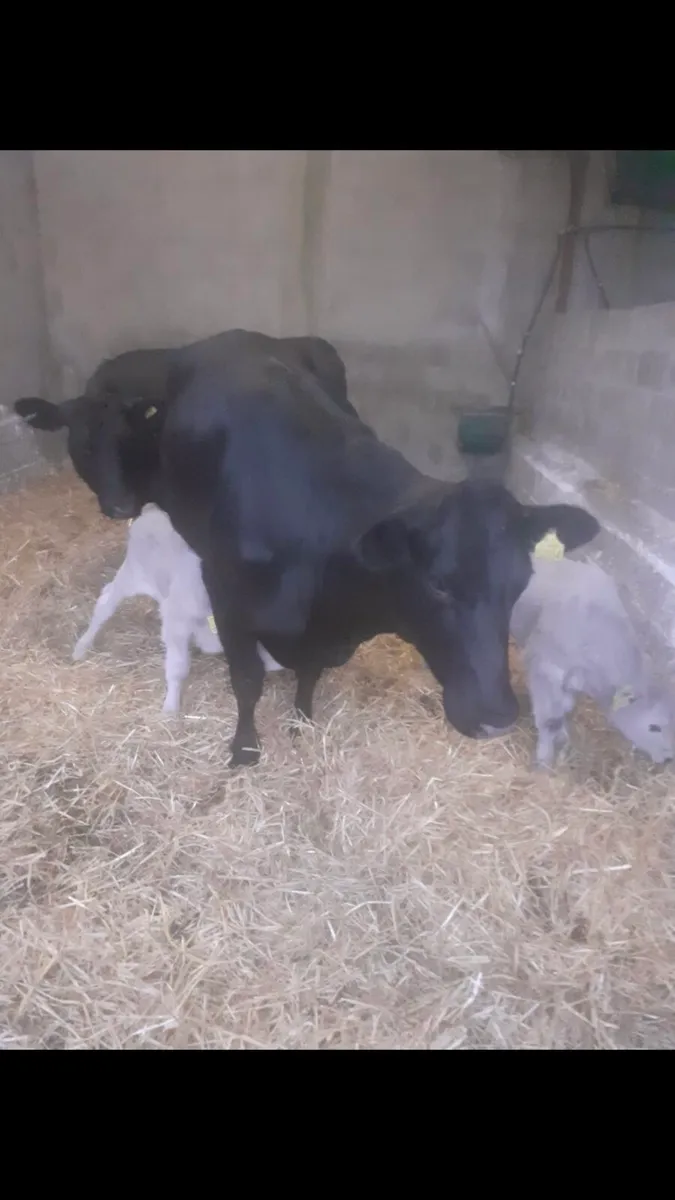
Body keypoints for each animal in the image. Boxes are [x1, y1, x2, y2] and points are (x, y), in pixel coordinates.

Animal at [72, 502, 283, 713]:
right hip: (132, 574)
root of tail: (152, 510)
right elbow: (177, 666)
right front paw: (170, 708)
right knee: (106, 601)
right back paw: (81, 647)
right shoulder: (177, 623)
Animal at [510, 555, 675, 767]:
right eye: (654, 727)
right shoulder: (545, 669)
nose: (669, 758)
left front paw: (562, 739)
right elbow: (550, 720)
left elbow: (564, 709)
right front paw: (544, 760)